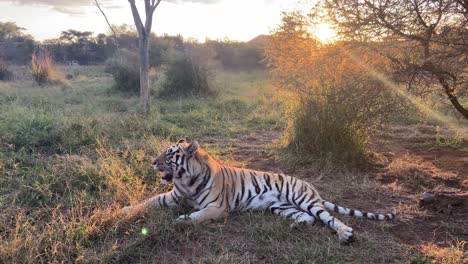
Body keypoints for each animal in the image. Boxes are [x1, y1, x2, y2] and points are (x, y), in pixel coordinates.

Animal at [120, 139, 394, 242]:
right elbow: (150, 201)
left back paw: (345, 233)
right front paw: (124, 210)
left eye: (169, 154)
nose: (152, 162)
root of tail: (310, 186)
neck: (185, 180)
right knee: (306, 218)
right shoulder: (172, 196)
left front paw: (179, 221)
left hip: (303, 200)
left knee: (328, 217)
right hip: (282, 207)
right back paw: (296, 226)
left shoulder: (216, 208)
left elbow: (195, 217)